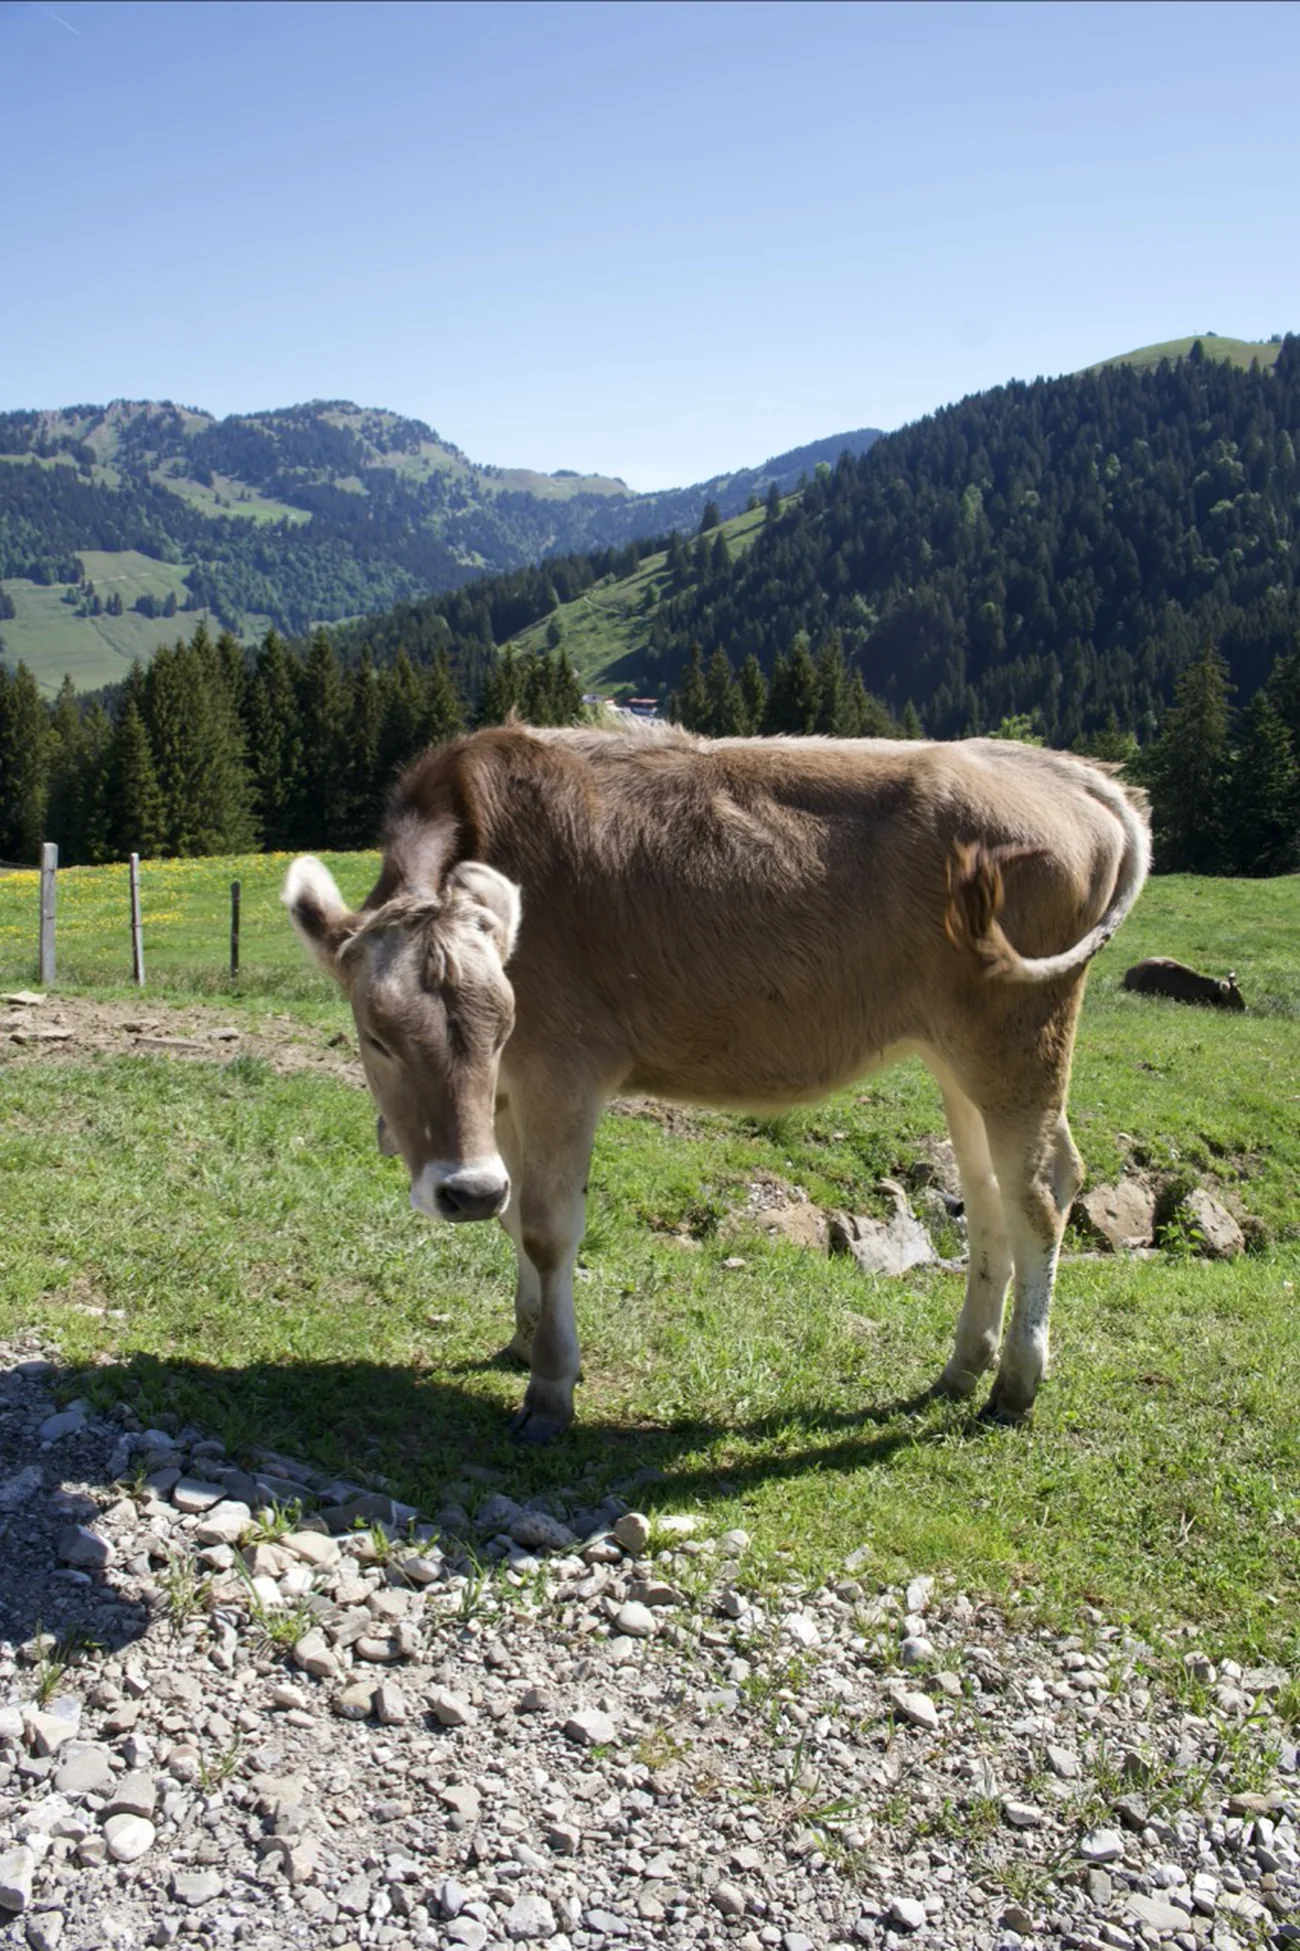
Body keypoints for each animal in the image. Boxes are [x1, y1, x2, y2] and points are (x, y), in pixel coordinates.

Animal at [285, 725, 1150, 1443]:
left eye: (503, 1024)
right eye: (377, 1035)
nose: (461, 1190)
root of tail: (1060, 768)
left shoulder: (561, 1067)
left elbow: (546, 1227)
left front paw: (551, 1388)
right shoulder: (502, 1103)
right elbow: (514, 1216)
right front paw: (523, 1336)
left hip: (1018, 1032)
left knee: (1040, 1190)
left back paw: (1014, 1384)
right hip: (955, 1053)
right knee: (989, 1194)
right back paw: (962, 1367)